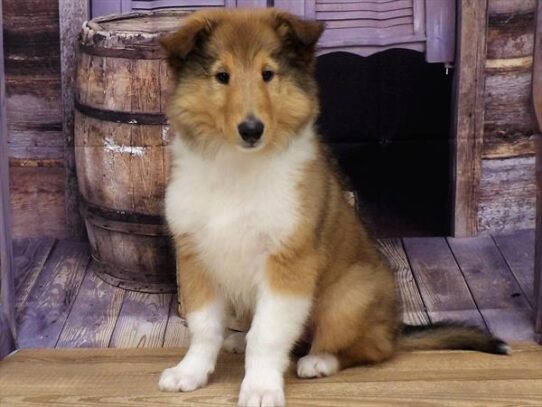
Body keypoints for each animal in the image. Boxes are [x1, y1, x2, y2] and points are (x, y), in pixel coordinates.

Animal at [158, 9, 510, 407]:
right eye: (222, 76)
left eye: (268, 74)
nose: (251, 130)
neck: (238, 167)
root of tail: (397, 326)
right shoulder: (195, 257)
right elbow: (204, 328)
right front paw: (189, 373)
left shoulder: (288, 262)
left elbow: (267, 335)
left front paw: (260, 388)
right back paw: (237, 340)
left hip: (347, 298)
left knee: (370, 348)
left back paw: (320, 361)